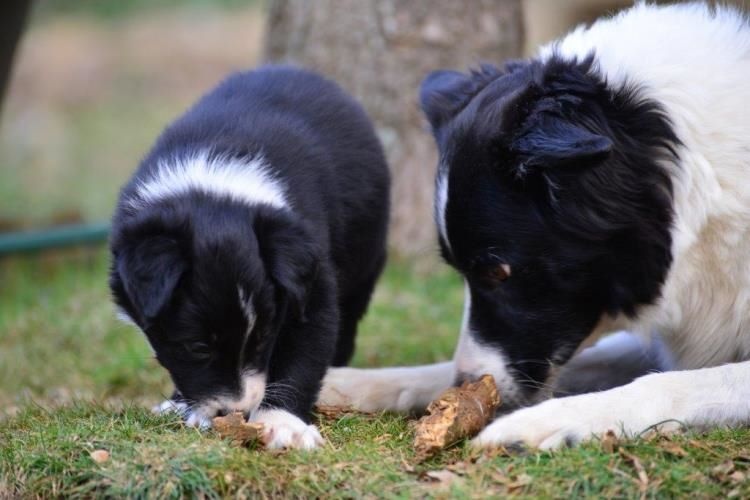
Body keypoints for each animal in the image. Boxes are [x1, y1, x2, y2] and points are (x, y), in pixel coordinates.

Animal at [109, 65, 390, 450]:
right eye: (198, 347)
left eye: (263, 338)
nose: (236, 412)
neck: (214, 181)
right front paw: (185, 405)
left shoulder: (312, 279)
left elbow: (304, 351)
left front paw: (281, 424)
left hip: (364, 258)